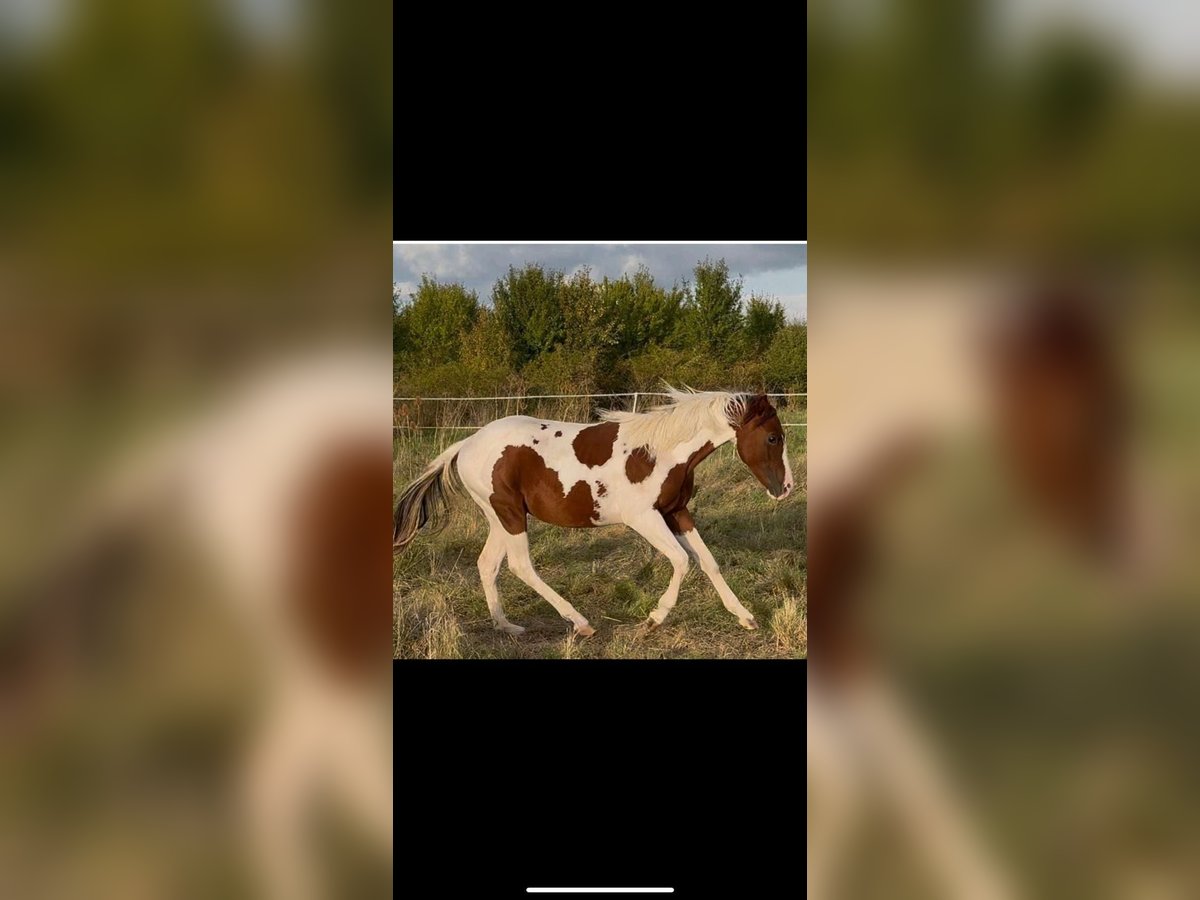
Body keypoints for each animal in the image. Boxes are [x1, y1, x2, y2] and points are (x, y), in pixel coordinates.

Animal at [392, 388, 797, 636]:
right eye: (773, 437)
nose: (786, 489)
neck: (660, 452)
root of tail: (466, 443)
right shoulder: (644, 518)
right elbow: (682, 561)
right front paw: (653, 619)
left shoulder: (676, 511)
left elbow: (707, 562)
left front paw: (745, 617)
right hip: (510, 515)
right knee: (520, 566)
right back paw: (580, 622)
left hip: (500, 517)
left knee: (487, 564)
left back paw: (506, 626)